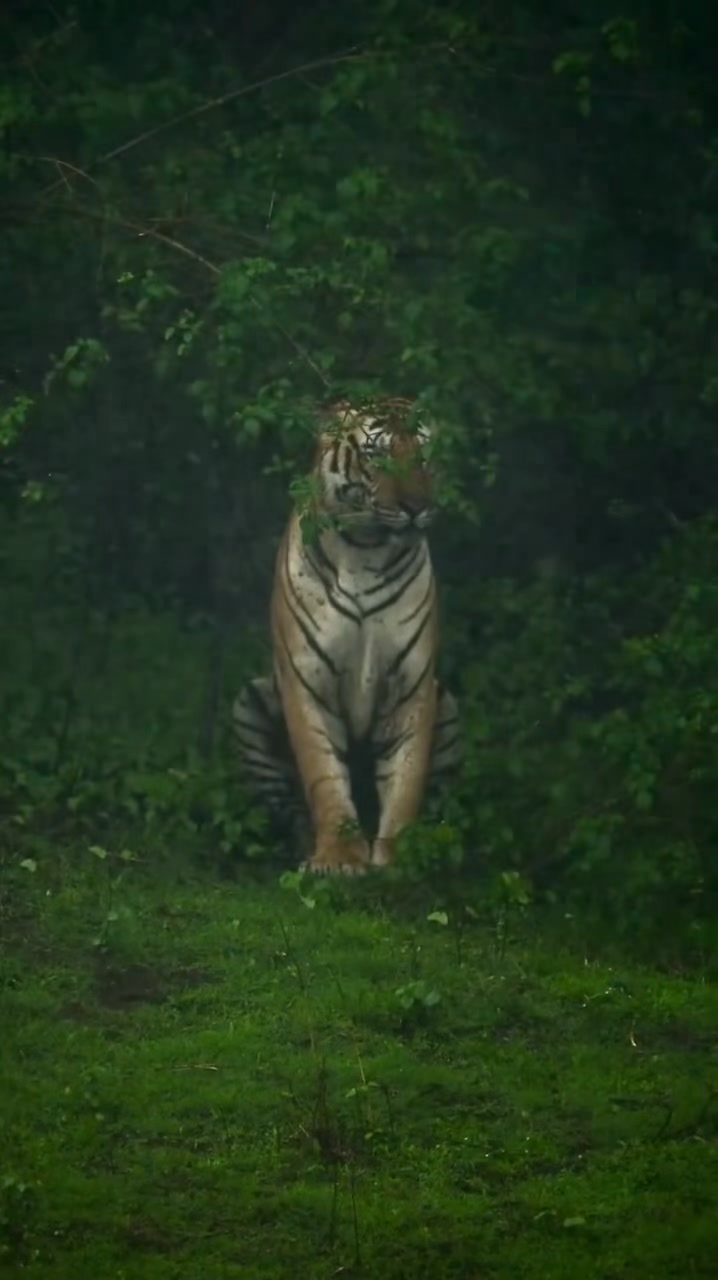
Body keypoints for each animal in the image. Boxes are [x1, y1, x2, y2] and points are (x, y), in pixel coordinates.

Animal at [233, 397, 461, 874]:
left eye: (425, 455)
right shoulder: (307, 680)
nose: (416, 506)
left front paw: (397, 857)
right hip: (251, 700)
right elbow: (324, 775)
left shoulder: (413, 685)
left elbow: (407, 777)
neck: (365, 549)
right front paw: (338, 857)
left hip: (448, 703)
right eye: (379, 454)